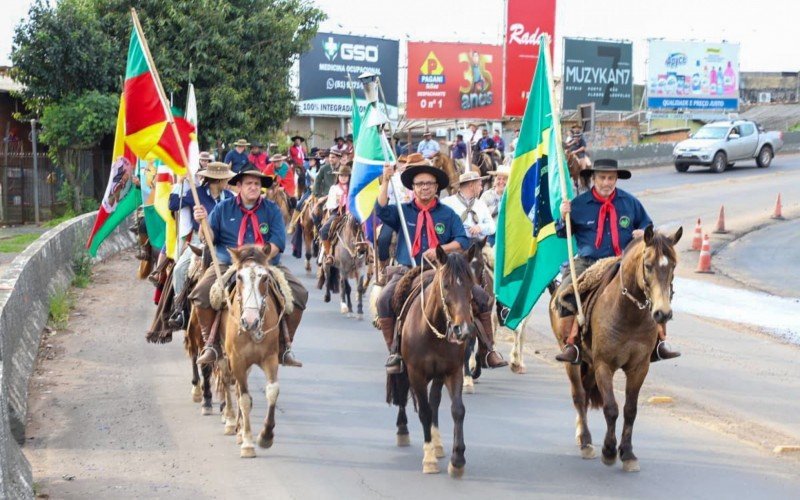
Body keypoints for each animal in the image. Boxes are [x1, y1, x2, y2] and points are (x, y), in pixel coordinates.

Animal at [219, 244, 294, 458]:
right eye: (239, 277)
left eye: (265, 278)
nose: (250, 321)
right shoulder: (236, 360)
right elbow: (244, 399)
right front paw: (247, 443)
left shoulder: (270, 358)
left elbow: (272, 391)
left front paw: (266, 436)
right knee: (229, 382)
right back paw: (232, 423)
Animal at [388, 246, 482, 476]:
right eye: (446, 285)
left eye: (470, 284)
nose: (464, 329)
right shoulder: (416, 374)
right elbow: (423, 411)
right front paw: (429, 458)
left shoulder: (452, 371)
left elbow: (457, 410)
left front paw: (457, 459)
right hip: (404, 371)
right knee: (403, 393)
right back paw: (403, 429)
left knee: (435, 401)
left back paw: (438, 444)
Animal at [548, 225, 684, 470]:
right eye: (648, 265)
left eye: (673, 265)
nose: (663, 313)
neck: (629, 314)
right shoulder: (605, 365)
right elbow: (611, 408)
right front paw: (609, 451)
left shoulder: (639, 368)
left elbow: (630, 410)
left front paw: (628, 453)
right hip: (572, 360)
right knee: (579, 396)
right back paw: (585, 441)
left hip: (590, 364)